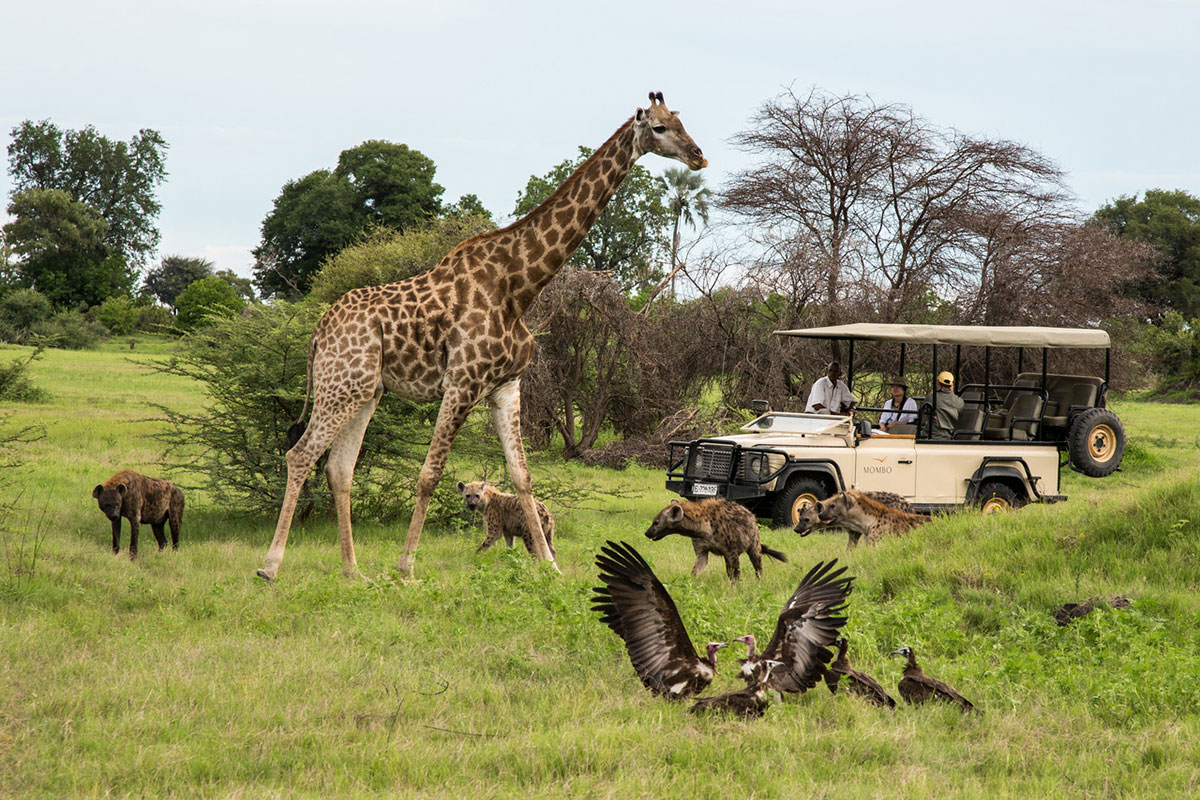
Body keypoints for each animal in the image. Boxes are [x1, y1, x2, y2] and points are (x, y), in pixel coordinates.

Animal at [253, 92, 700, 582]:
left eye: (682, 121)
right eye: (658, 128)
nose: (698, 156)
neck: (518, 286)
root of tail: (319, 330)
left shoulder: (506, 385)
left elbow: (522, 475)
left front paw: (550, 566)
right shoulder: (462, 382)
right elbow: (430, 474)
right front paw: (407, 566)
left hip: (365, 390)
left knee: (338, 468)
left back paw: (354, 572)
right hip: (340, 385)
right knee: (300, 455)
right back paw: (270, 567)